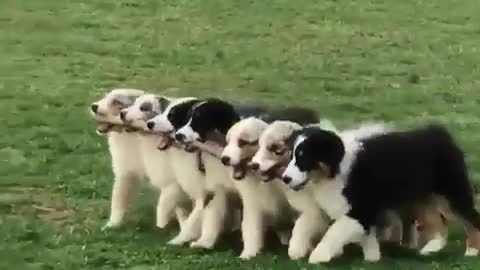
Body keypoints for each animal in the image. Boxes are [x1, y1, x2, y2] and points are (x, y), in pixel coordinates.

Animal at [221, 116, 330, 260]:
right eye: (228, 143)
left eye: (243, 142)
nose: (224, 159)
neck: (273, 183)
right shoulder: (254, 204)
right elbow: (251, 228)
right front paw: (248, 253)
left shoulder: (310, 207)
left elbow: (303, 224)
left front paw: (298, 249)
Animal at [282, 125, 480, 262]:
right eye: (291, 155)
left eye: (304, 157)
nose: (285, 178)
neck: (336, 168)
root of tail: (441, 133)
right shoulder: (354, 209)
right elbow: (361, 234)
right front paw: (372, 257)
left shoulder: (361, 207)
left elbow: (335, 231)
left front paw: (319, 255)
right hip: (424, 198)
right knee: (440, 223)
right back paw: (431, 249)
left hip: (450, 194)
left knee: (471, 218)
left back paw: (472, 251)